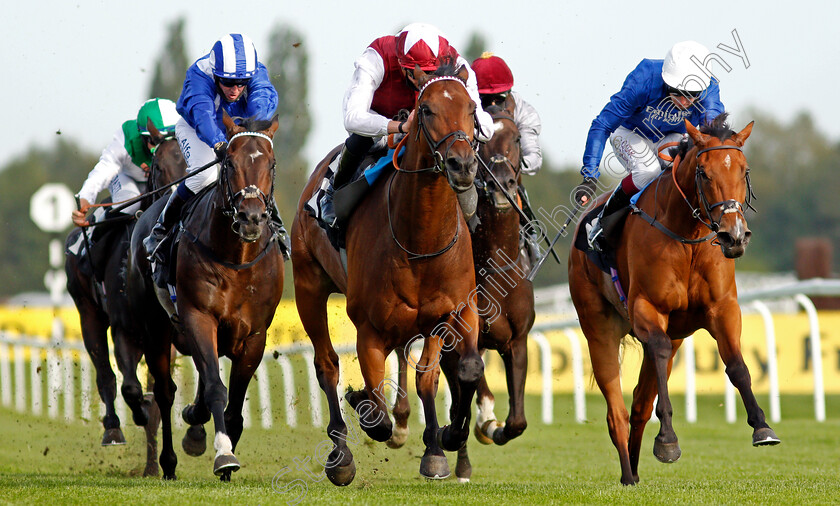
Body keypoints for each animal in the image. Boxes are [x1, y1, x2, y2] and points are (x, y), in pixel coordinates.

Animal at [64, 120, 185, 476]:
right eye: (159, 166)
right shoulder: (124, 329)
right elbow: (131, 387)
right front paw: (138, 415)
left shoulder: (169, 333)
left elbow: (161, 392)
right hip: (87, 313)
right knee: (104, 373)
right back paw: (113, 429)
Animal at [124, 114, 282, 482]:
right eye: (229, 163)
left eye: (271, 163)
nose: (252, 217)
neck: (237, 257)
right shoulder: (198, 317)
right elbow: (214, 387)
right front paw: (223, 454)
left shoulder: (255, 334)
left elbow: (235, 404)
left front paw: (224, 453)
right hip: (156, 327)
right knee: (164, 393)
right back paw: (168, 461)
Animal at [290, 63, 482, 486]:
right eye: (425, 109)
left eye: (472, 107)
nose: (462, 165)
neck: (420, 239)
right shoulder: (369, 327)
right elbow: (374, 406)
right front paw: (363, 404)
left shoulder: (453, 312)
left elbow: (455, 371)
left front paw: (441, 443)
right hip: (308, 287)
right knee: (327, 364)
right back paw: (341, 454)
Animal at [388, 96, 540, 482]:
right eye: (483, 142)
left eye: (518, 139)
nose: (502, 184)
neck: (495, 262)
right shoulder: (454, 341)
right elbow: (460, 397)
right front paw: (453, 438)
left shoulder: (517, 340)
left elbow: (517, 420)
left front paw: (492, 426)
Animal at [568, 115, 776, 486]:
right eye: (704, 173)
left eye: (744, 170)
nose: (734, 236)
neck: (688, 236)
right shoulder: (647, 308)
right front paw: (667, 440)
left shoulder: (723, 308)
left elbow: (737, 365)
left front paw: (762, 426)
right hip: (598, 327)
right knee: (617, 410)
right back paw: (627, 473)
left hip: (674, 334)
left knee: (639, 403)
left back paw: (635, 472)